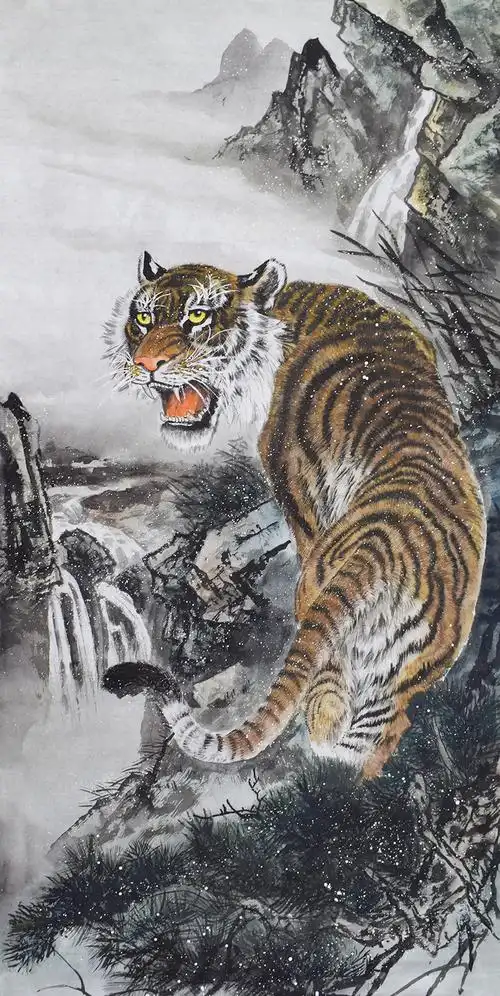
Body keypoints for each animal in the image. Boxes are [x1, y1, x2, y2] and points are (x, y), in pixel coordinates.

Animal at [103, 250, 486, 777]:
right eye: (143, 318)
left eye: (196, 317)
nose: (144, 364)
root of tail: (386, 545)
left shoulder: (294, 487)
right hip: (399, 673)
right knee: (372, 739)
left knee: (323, 719)